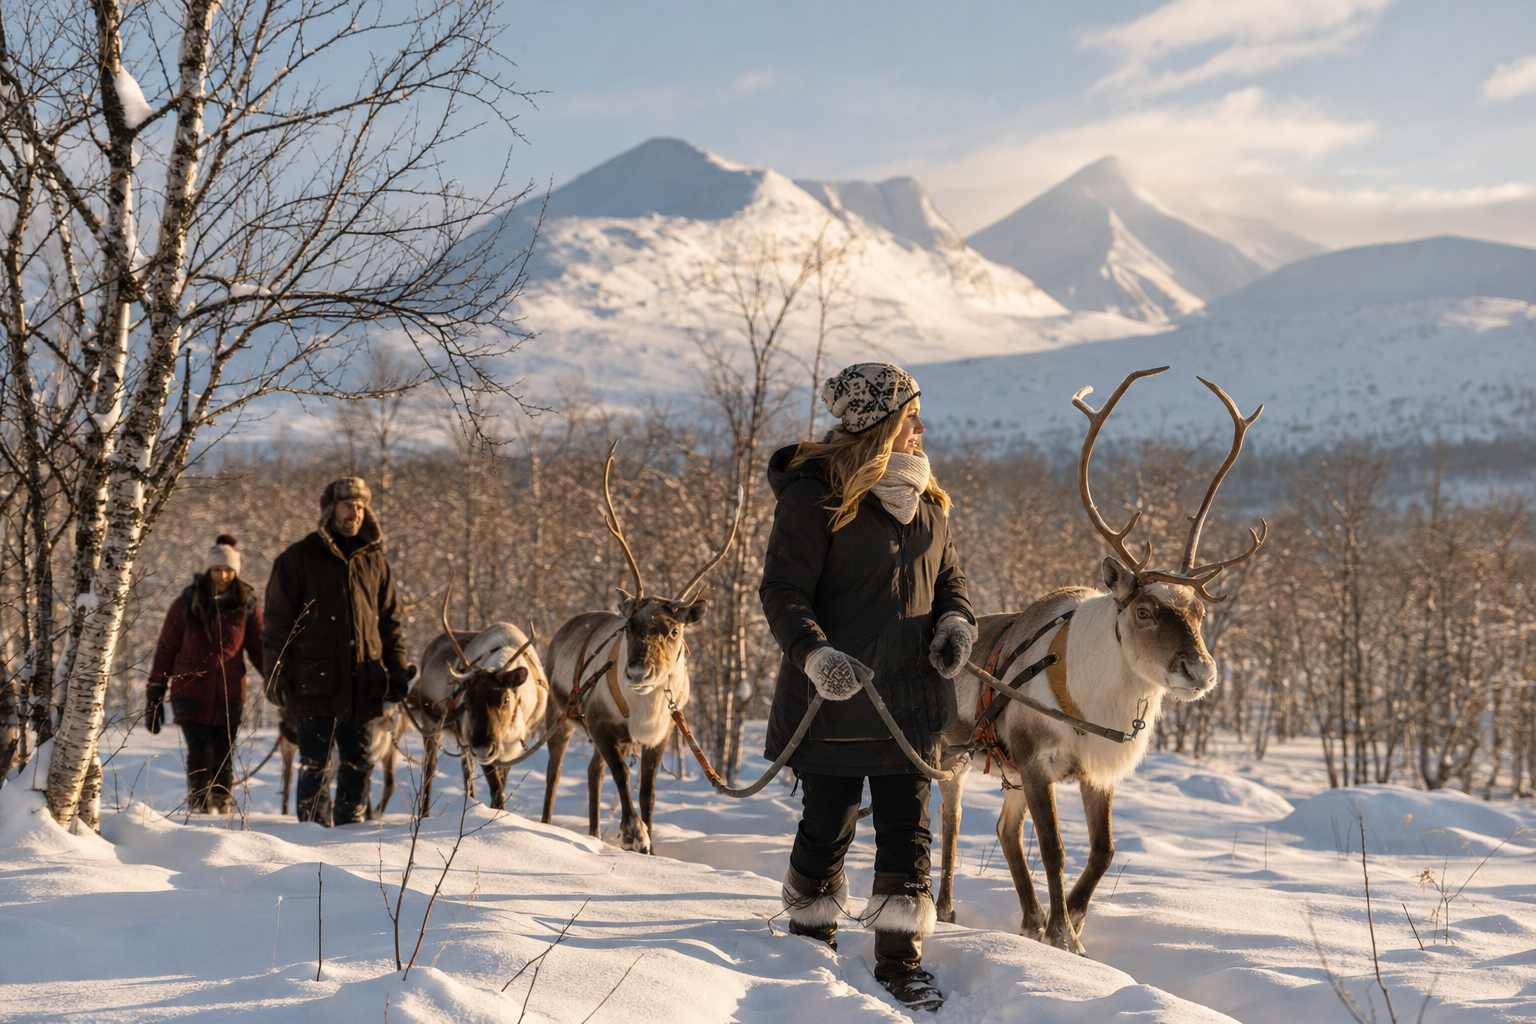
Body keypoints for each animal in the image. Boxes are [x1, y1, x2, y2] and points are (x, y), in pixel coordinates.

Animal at [405, 592, 549, 814]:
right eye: (467, 700)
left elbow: (500, 788)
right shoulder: (478, 741)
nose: (482, 749)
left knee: (467, 773)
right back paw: (425, 814)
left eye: (505, 699)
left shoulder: (511, 748)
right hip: (432, 727)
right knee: (429, 771)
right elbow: (497, 792)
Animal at [539, 443, 739, 854]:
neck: (644, 709)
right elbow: (620, 778)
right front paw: (634, 834)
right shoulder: (600, 723)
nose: (636, 672)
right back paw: (549, 821)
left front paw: (651, 846)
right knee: (557, 770)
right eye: (630, 624)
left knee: (592, 770)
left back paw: (594, 832)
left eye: (675, 629)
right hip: (560, 714)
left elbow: (647, 793)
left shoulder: (659, 735)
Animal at [934, 366, 1266, 955]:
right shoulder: (1036, 763)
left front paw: (1070, 923)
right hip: (953, 756)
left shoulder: (1095, 774)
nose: (1200, 671)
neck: (1095, 702)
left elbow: (1103, 851)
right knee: (953, 823)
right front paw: (1063, 933)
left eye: (1199, 611)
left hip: (1007, 775)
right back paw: (949, 908)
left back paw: (1028, 920)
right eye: (1144, 610)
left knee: (1004, 831)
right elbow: (1055, 850)